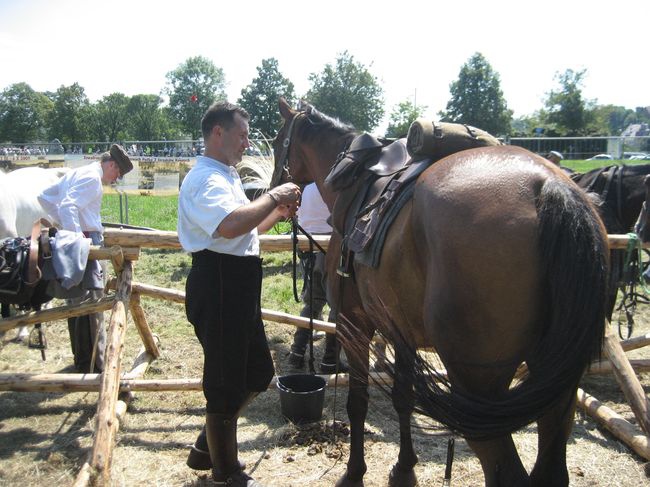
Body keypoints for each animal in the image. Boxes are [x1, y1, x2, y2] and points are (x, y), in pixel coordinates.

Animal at [270, 97, 608, 486]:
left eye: (277, 141)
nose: (272, 190)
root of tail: (547, 184)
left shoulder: (354, 324)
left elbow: (358, 401)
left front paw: (354, 472)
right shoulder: (401, 332)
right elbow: (402, 397)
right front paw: (404, 469)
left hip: (479, 390)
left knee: (505, 470)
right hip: (555, 383)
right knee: (551, 467)